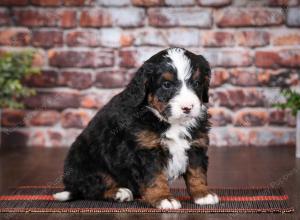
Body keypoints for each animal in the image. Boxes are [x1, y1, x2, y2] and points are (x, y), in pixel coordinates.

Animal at [53, 47, 218, 209]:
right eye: (166, 85)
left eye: (196, 83)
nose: (187, 107)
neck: (168, 121)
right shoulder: (146, 151)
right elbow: (154, 176)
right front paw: (163, 198)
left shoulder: (196, 145)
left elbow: (197, 172)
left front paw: (203, 194)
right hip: (87, 163)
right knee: (92, 187)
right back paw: (119, 192)